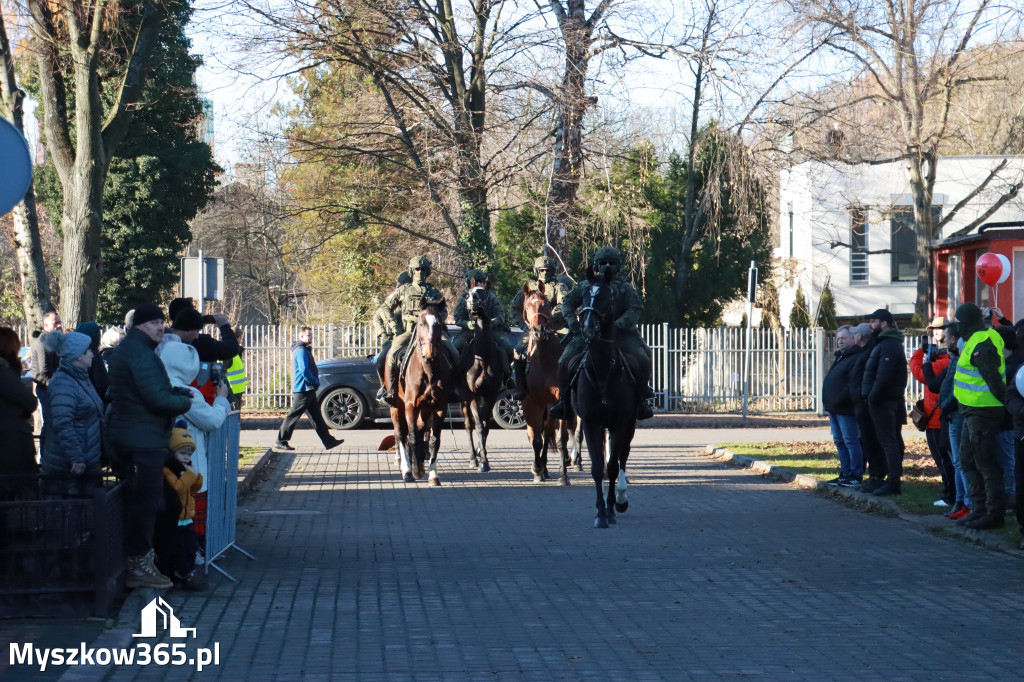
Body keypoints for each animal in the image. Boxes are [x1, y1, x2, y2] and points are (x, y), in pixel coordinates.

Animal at [391, 299, 456, 483]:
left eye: (439, 324)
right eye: (421, 323)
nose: (429, 354)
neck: (428, 370)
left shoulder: (439, 407)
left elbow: (434, 440)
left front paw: (432, 474)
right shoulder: (410, 405)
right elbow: (412, 437)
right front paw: (415, 470)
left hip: (425, 409)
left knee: (420, 432)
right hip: (396, 407)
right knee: (401, 434)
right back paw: (406, 469)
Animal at [520, 284, 577, 483]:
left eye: (545, 305)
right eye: (527, 306)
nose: (539, 330)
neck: (546, 360)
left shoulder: (560, 402)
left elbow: (561, 439)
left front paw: (563, 475)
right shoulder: (532, 402)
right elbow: (535, 439)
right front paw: (536, 469)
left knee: (549, 432)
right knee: (540, 434)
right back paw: (541, 469)